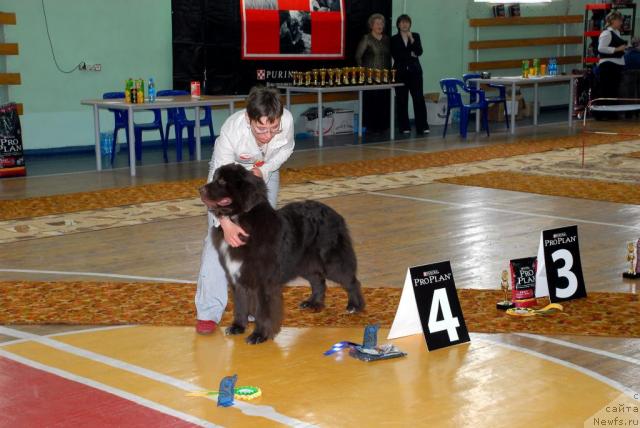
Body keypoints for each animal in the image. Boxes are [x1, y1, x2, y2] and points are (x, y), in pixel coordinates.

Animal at [200, 164, 362, 344]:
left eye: (222, 181)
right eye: (214, 178)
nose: (200, 189)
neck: (241, 220)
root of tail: (335, 214)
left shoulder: (263, 281)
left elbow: (263, 310)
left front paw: (259, 335)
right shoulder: (238, 277)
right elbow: (241, 304)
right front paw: (238, 327)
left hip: (332, 260)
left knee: (351, 280)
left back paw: (354, 306)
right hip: (305, 262)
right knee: (319, 280)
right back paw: (313, 303)